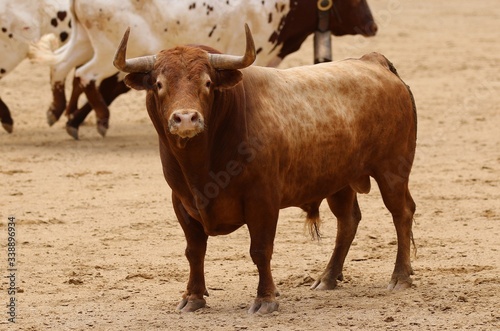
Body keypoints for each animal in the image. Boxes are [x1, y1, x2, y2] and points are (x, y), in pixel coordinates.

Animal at [113, 24, 418, 316]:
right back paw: (328, 277)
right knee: (348, 221)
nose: (186, 118)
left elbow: (260, 250)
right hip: (339, 182)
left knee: (401, 213)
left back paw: (400, 277)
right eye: (159, 84)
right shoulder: (181, 202)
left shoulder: (262, 201)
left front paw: (265, 299)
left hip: (392, 170)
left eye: (208, 83)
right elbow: (194, 251)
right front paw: (193, 297)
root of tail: (374, 62)